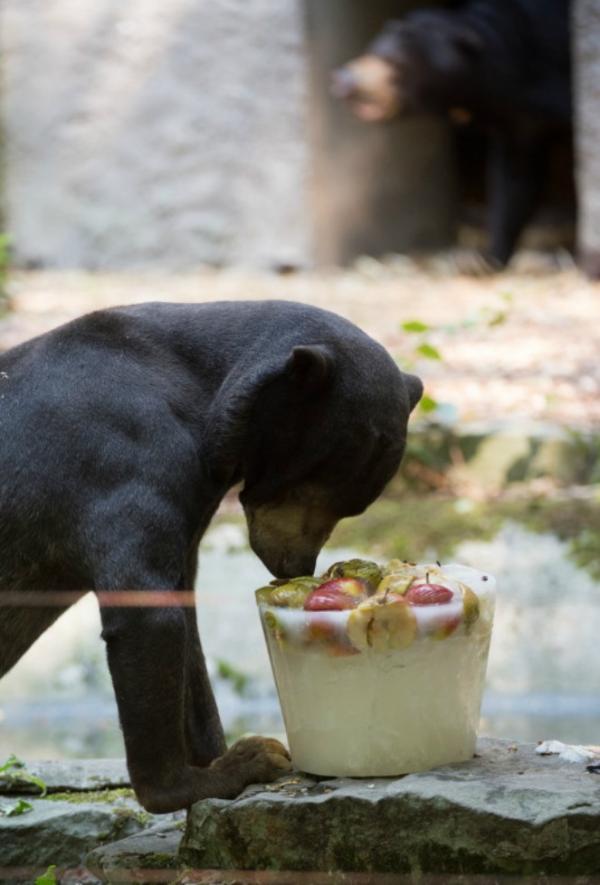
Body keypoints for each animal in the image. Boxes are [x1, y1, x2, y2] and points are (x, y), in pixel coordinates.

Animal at [0, 300, 422, 812]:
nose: (294, 568)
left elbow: (188, 634)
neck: (203, 390)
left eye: (349, 509)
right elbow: (150, 616)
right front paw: (228, 769)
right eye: (307, 486)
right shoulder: (127, 464)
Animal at [332, 0, 572, 272]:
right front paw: (482, 261)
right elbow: (514, 183)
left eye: (395, 63)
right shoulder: (518, 124)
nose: (344, 80)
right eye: (371, 49)